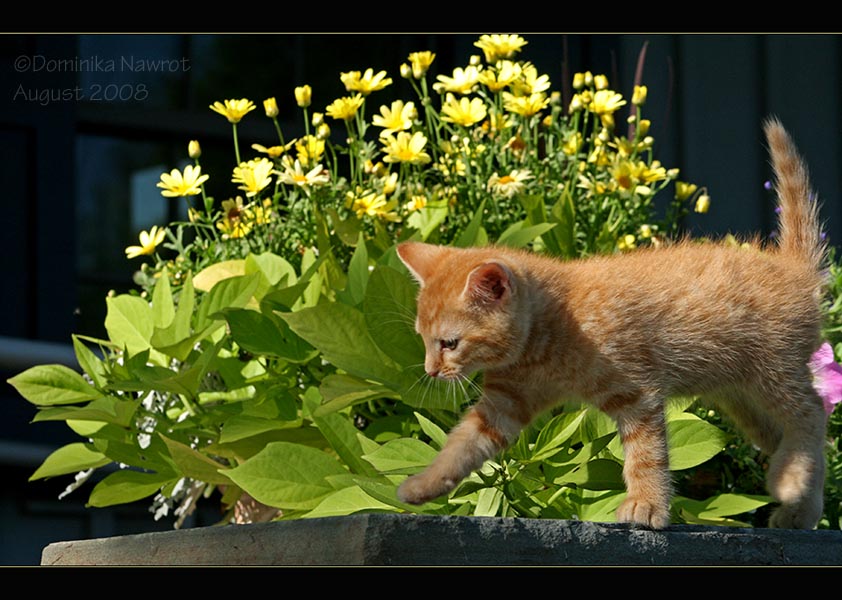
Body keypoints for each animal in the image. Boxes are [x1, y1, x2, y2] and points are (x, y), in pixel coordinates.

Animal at [396, 117, 828, 528]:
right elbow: (462, 444)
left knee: (813, 413)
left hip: (774, 372)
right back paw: (799, 507)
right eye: (423, 339)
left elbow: (646, 456)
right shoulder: (506, 403)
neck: (548, 333)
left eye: (449, 343)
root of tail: (792, 268)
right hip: (742, 399)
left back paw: (789, 481)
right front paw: (423, 484)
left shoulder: (638, 395)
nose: (430, 371)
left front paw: (646, 504)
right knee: (788, 435)